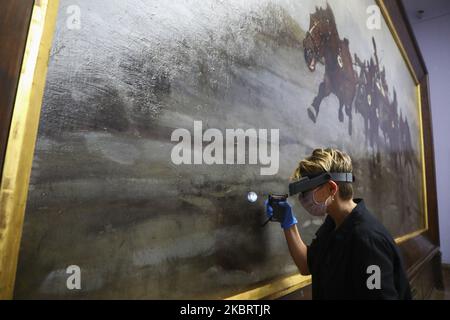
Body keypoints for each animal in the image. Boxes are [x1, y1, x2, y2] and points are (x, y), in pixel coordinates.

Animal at [304, 4, 356, 136]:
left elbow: (345, 105)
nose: (307, 51)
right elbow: (323, 90)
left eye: (321, 33)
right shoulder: (328, 81)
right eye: (310, 23)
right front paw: (313, 109)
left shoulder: (344, 91)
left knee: (346, 106)